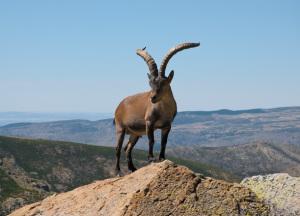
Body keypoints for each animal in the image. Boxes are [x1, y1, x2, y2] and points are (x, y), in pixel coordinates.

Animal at [113, 42, 200, 174]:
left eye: (163, 83)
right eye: (151, 83)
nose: (152, 97)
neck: (163, 110)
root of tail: (119, 106)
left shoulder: (167, 126)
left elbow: (164, 142)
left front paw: (162, 158)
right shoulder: (149, 123)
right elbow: (151, 140)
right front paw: (151, 158)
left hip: (135, 134)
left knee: (128, 148)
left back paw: (132, 168)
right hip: (120, 128)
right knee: (118, 148)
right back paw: (118, 171)